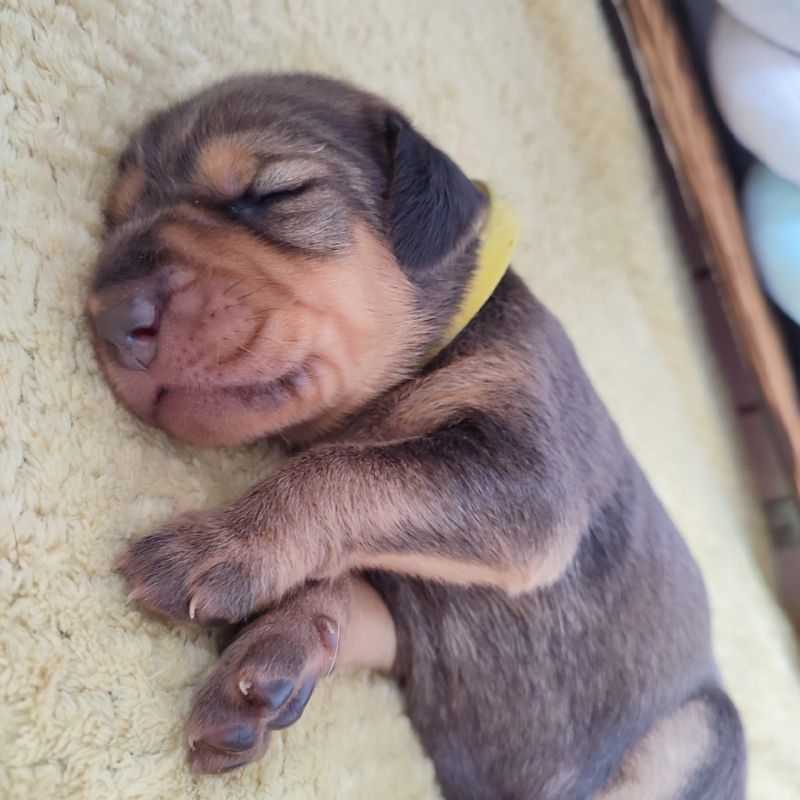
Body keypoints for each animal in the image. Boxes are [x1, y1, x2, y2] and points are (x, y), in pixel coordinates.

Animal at [87, 74, 746, 798]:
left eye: (277, 193)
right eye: (114, 218)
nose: (109, 316)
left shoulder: (532, 477)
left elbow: (335, 470)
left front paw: (220, 545)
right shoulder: (406, 625)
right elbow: (346, 585)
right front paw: (274, 656)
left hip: (701, 735)